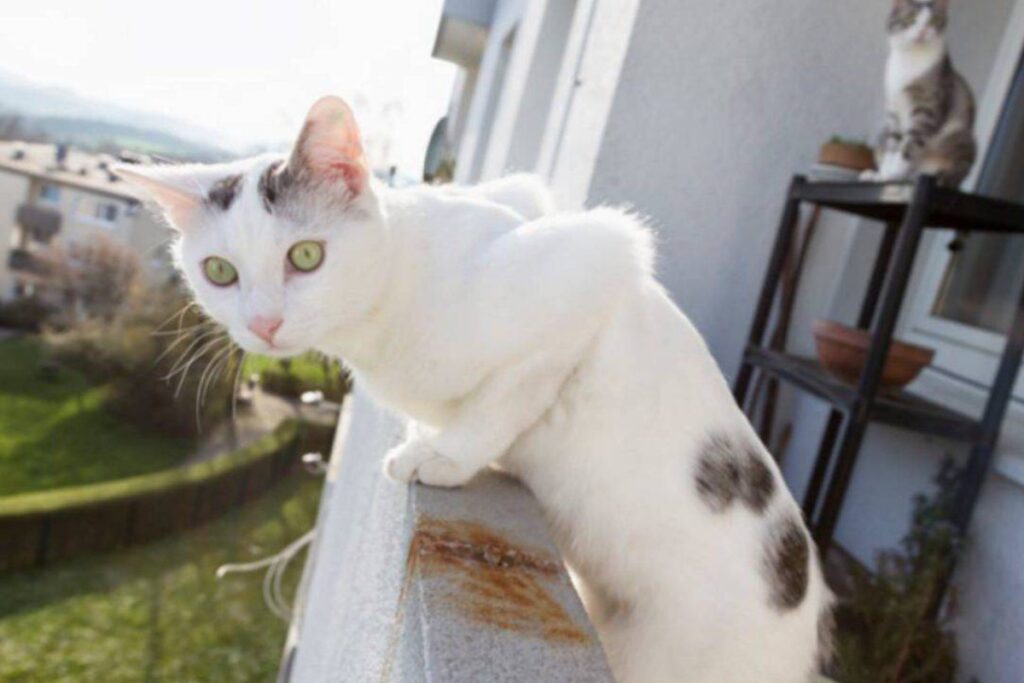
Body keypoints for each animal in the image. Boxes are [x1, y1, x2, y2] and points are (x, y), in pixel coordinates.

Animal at [119, 96, 831, 683]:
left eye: (305, 257)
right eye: (219, 272)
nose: (263, 324)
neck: (387, 307)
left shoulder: (596, 257)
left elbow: (508, 397)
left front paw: (442, 455)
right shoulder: (529, 195)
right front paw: (428, 432)